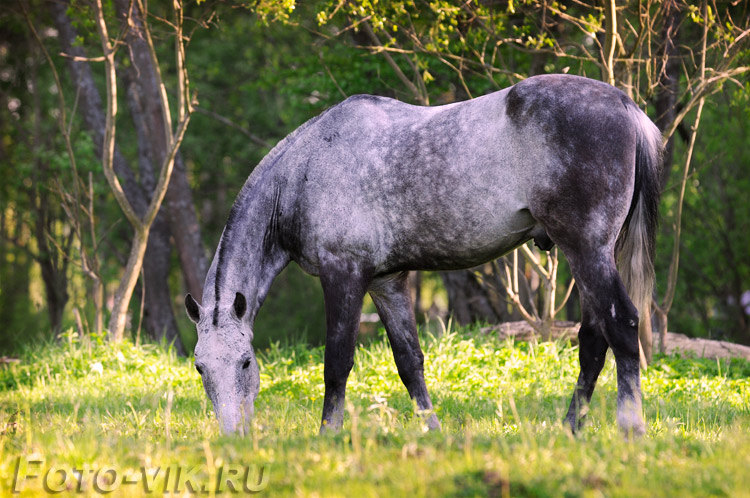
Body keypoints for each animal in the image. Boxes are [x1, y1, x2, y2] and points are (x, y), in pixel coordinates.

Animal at [185, 73, 660, 436]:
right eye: (201, 368)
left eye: (246, 362)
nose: (233, 436)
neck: (306, 169)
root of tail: (624, 105)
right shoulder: (386, 282)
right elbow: (409, 362)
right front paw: (433, 432)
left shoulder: (344, 275)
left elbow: (337, 361)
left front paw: (328, 435)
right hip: (585, 256)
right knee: (593, 341)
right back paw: (570, 429)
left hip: (587, 250)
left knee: (621, 324)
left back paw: (630, 427)